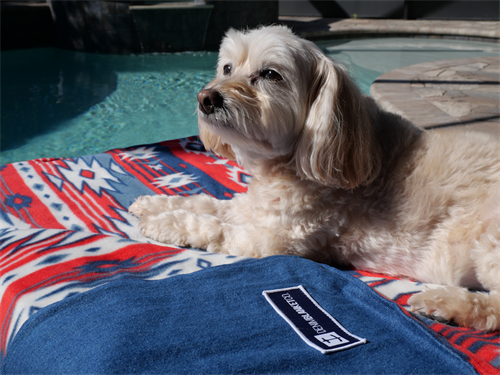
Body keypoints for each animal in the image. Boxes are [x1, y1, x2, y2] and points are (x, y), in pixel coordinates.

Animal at [130, 25, 500, 332]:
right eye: (227, 68)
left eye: (270, 74)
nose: (206, 98)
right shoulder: (255, 207)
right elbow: (207, 203)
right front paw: (154, 204)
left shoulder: (279, 241)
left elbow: (213, 227)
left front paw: (166, 223)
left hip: (490, 237)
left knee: (494, 308)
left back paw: (445, 304)